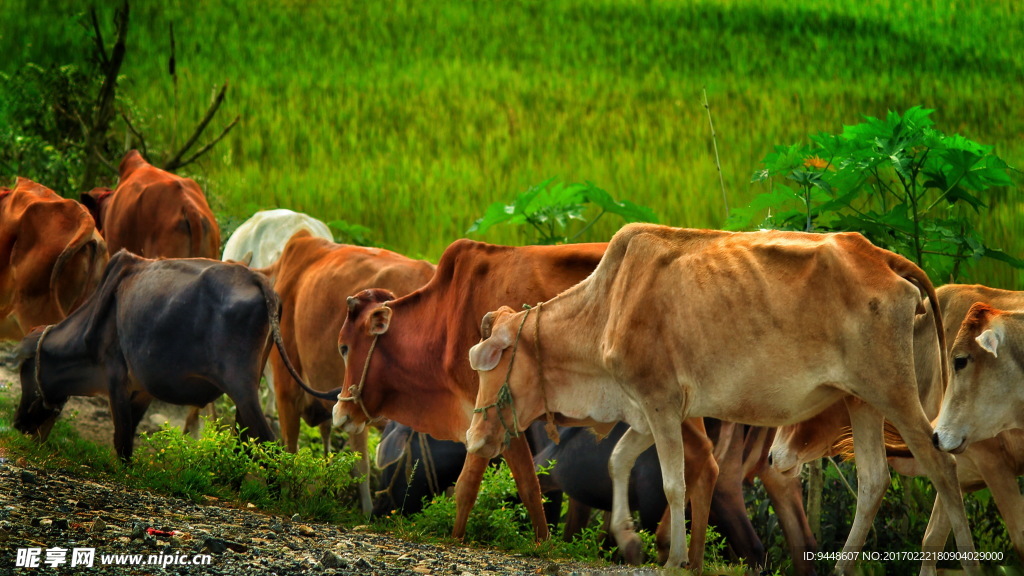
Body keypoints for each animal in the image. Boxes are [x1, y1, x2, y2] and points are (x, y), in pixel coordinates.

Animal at [12, 249, 307, 459]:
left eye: (24, 369)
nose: (17, 424)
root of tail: (256, 279)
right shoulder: (143, 388)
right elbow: (130, 429)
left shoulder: (115, 378)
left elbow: (123, 441)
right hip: (248, 388)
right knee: (245, 440)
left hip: (240, 386)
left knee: (268, 442)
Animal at [464, 224, 974, 573]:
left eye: (495, 362)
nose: (473, 438)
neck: (608, 305)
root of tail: (883, 257)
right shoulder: (646, 411)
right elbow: (618, 461)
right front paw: (629, 538)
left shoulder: (660, 402)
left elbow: (674, 483)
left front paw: (672, 559)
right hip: (860, 402)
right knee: (872, 482)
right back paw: (842, 567)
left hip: (895, 394)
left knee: (944, 468)